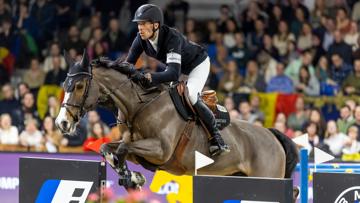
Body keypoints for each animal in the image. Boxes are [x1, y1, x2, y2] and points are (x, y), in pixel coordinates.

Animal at [56, 51, 298, 191]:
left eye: (79, 86)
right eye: (65, 85)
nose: (62, 123)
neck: (139, 106)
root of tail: (272, 135)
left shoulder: (160, 150)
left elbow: (123, 148)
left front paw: (131, 178)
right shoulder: (138, 148)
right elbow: (108, 148)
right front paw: (133, 177)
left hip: (267, 176)